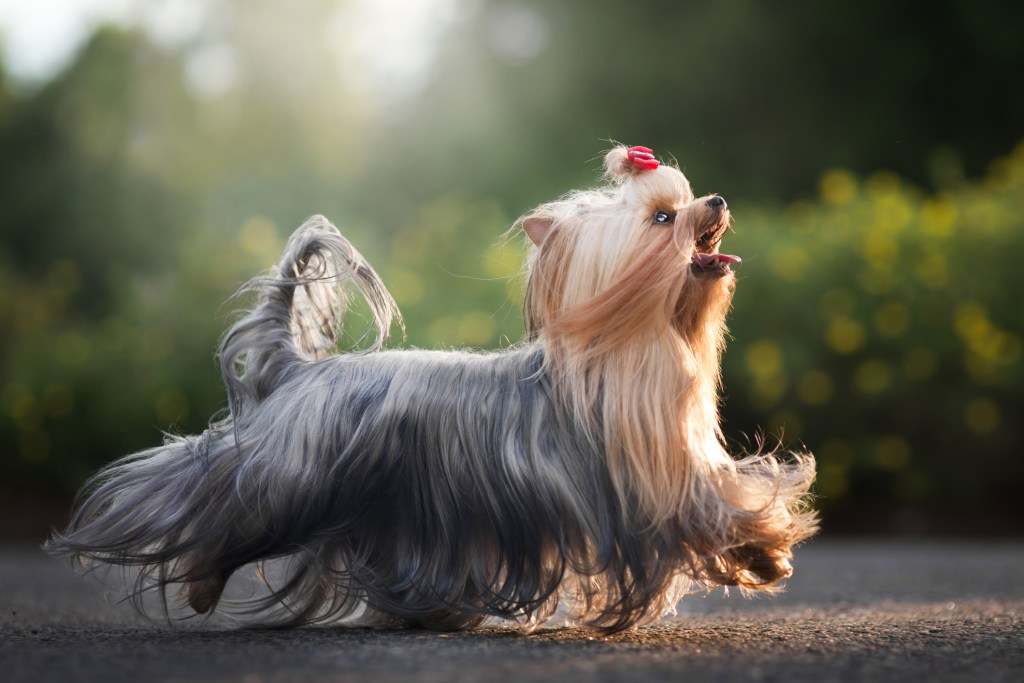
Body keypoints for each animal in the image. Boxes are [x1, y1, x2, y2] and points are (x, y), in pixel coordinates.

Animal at [46, 147, 815, 634]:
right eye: (663, 219)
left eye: (687, 201)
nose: (716, 200)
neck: (637, 343)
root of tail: (295, 370)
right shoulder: (652, 480)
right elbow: (715, 508)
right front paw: (767, 547)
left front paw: (766, 550)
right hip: (286, 477)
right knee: (202, 501)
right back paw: (200, 579)